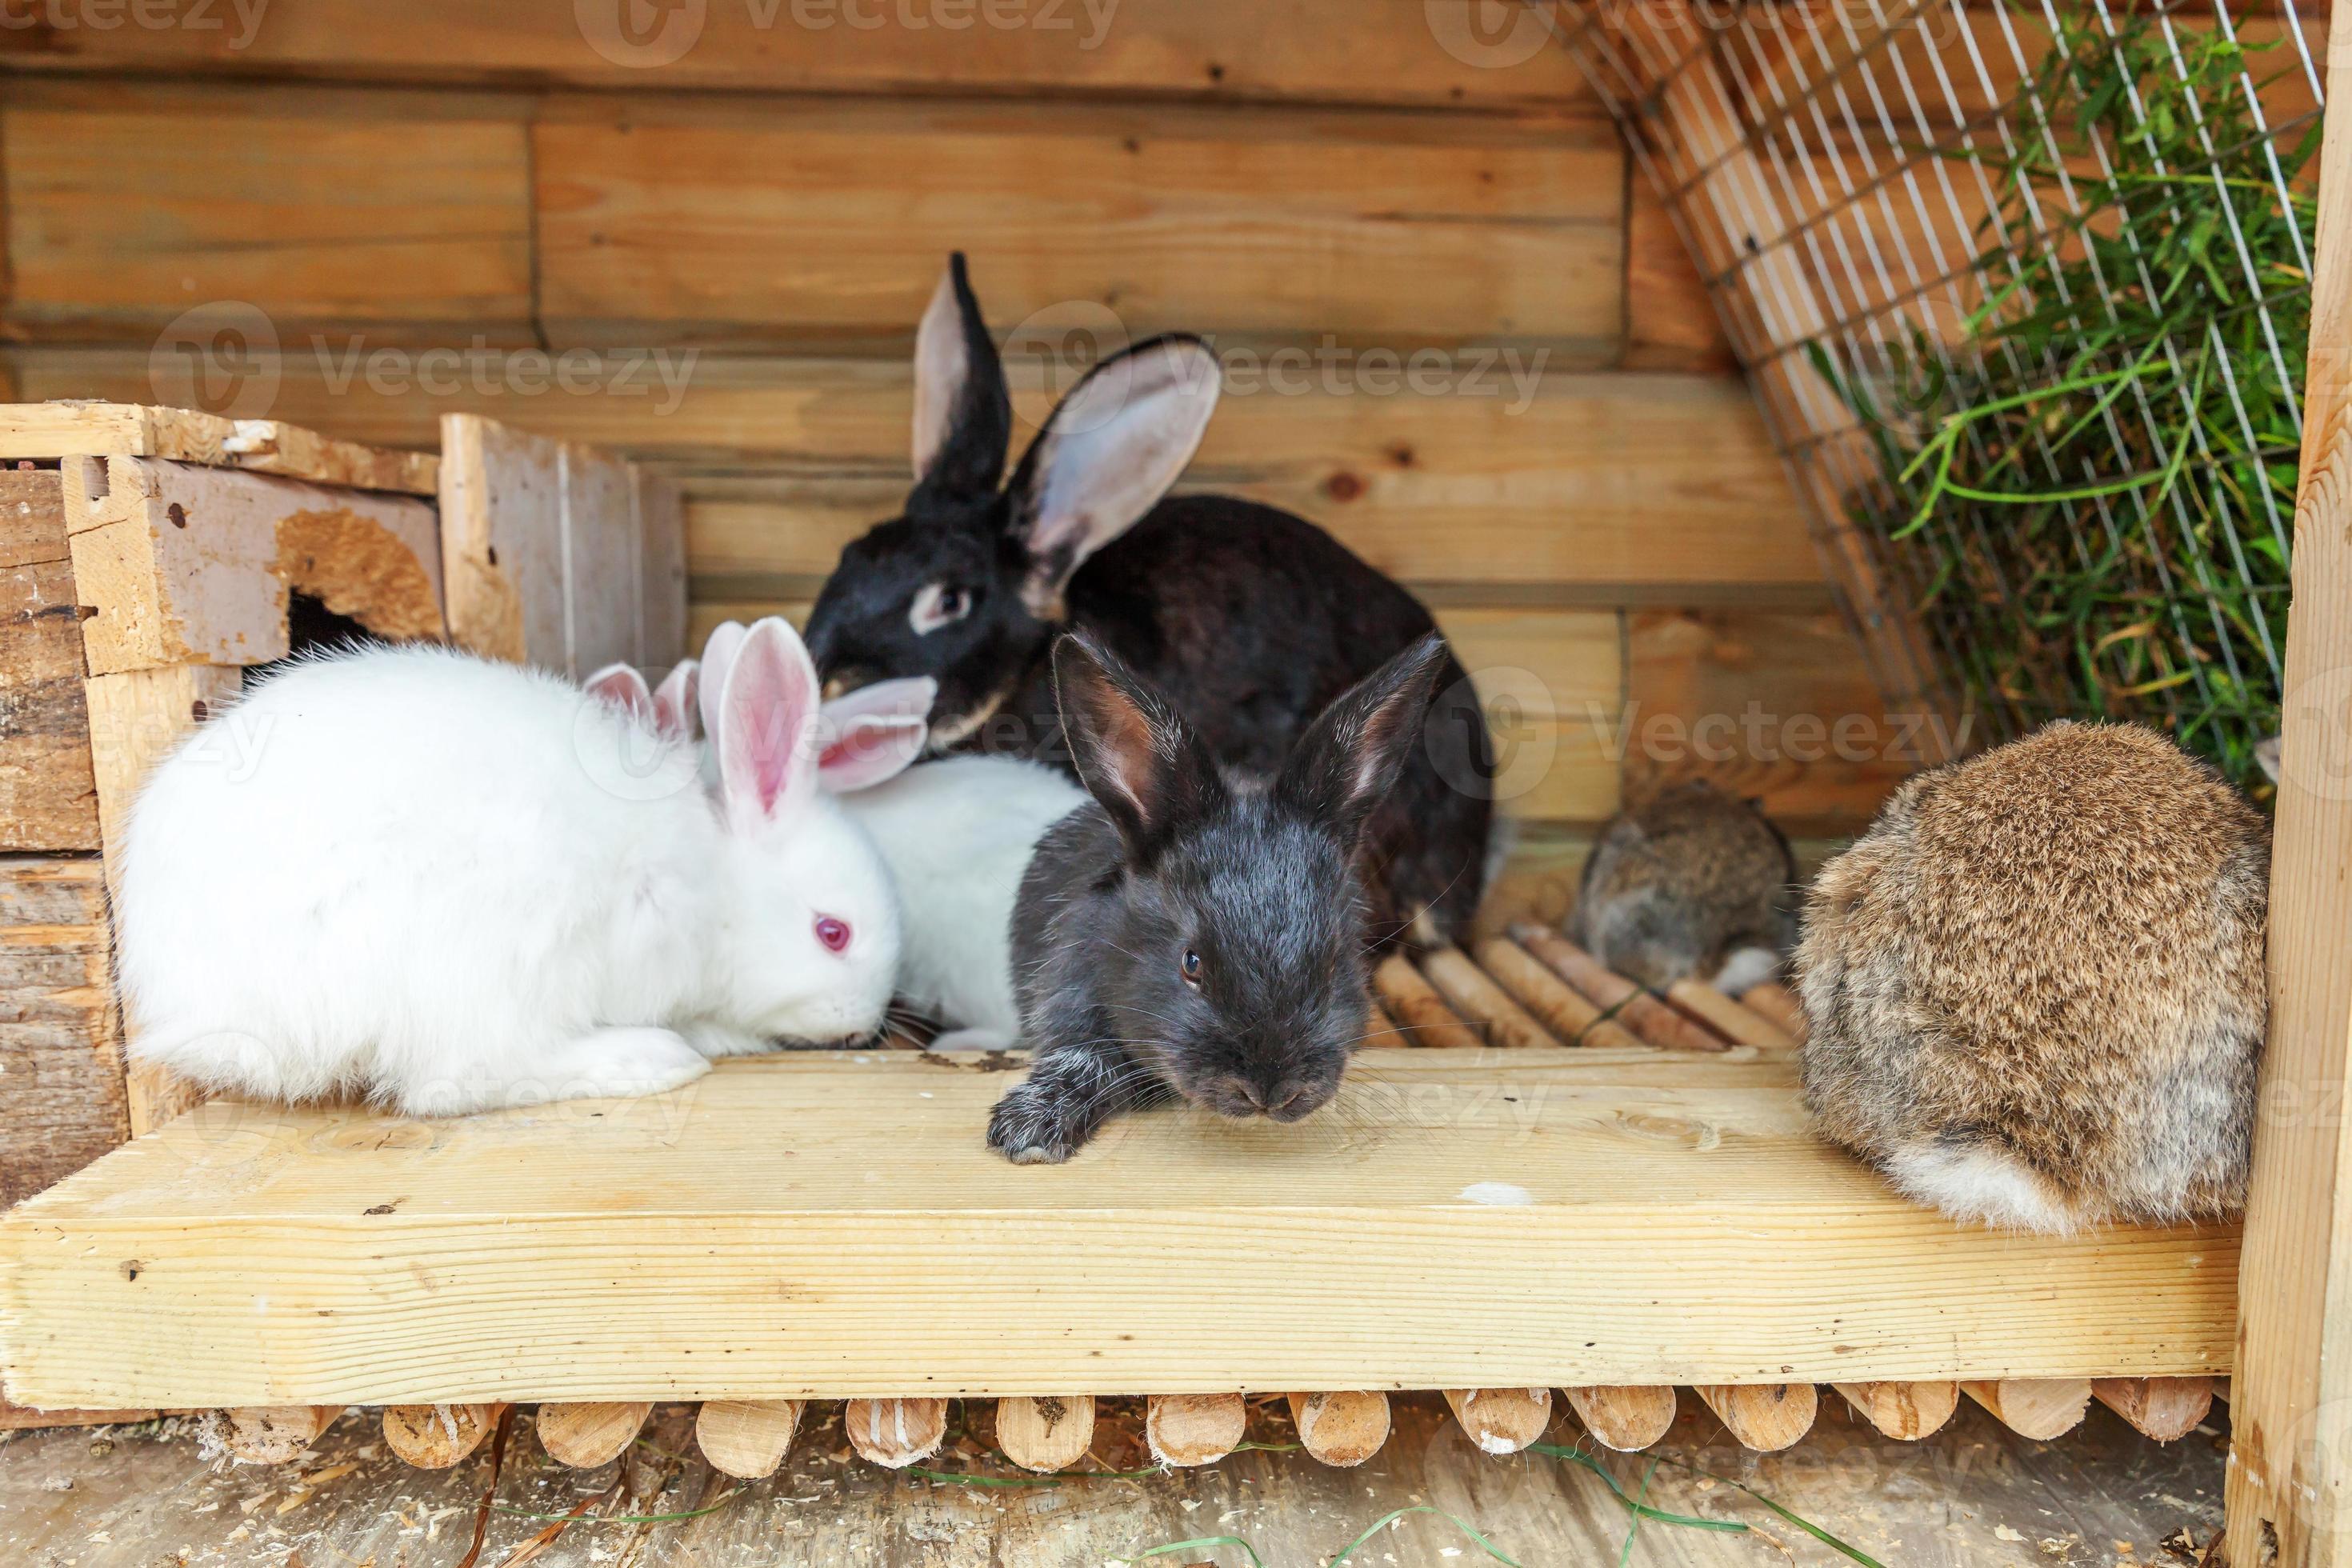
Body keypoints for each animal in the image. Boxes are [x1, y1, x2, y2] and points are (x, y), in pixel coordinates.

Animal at [116, 618, 903, 1117]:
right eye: (832, 933)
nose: (863, 1026)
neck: (716, 886)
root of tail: (215, 1010)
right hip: (489, 962)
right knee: (460, 1080)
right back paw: (651, 1059)